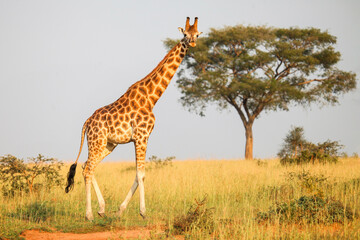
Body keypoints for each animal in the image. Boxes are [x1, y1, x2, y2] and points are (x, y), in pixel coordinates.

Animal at [65, 16, 202, 221]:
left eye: (197, 34)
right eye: (185, 34)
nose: (192, 42)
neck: (151, 98)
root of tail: (86, 123)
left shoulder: (139, 138)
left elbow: (138, 174)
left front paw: (120, 210)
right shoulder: (141, 136)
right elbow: (141, 174)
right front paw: (143, 212)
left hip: (108, 145)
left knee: (85, 166)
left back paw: (101, 209)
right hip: (97, 142)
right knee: (88, 169)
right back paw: (89, 214)